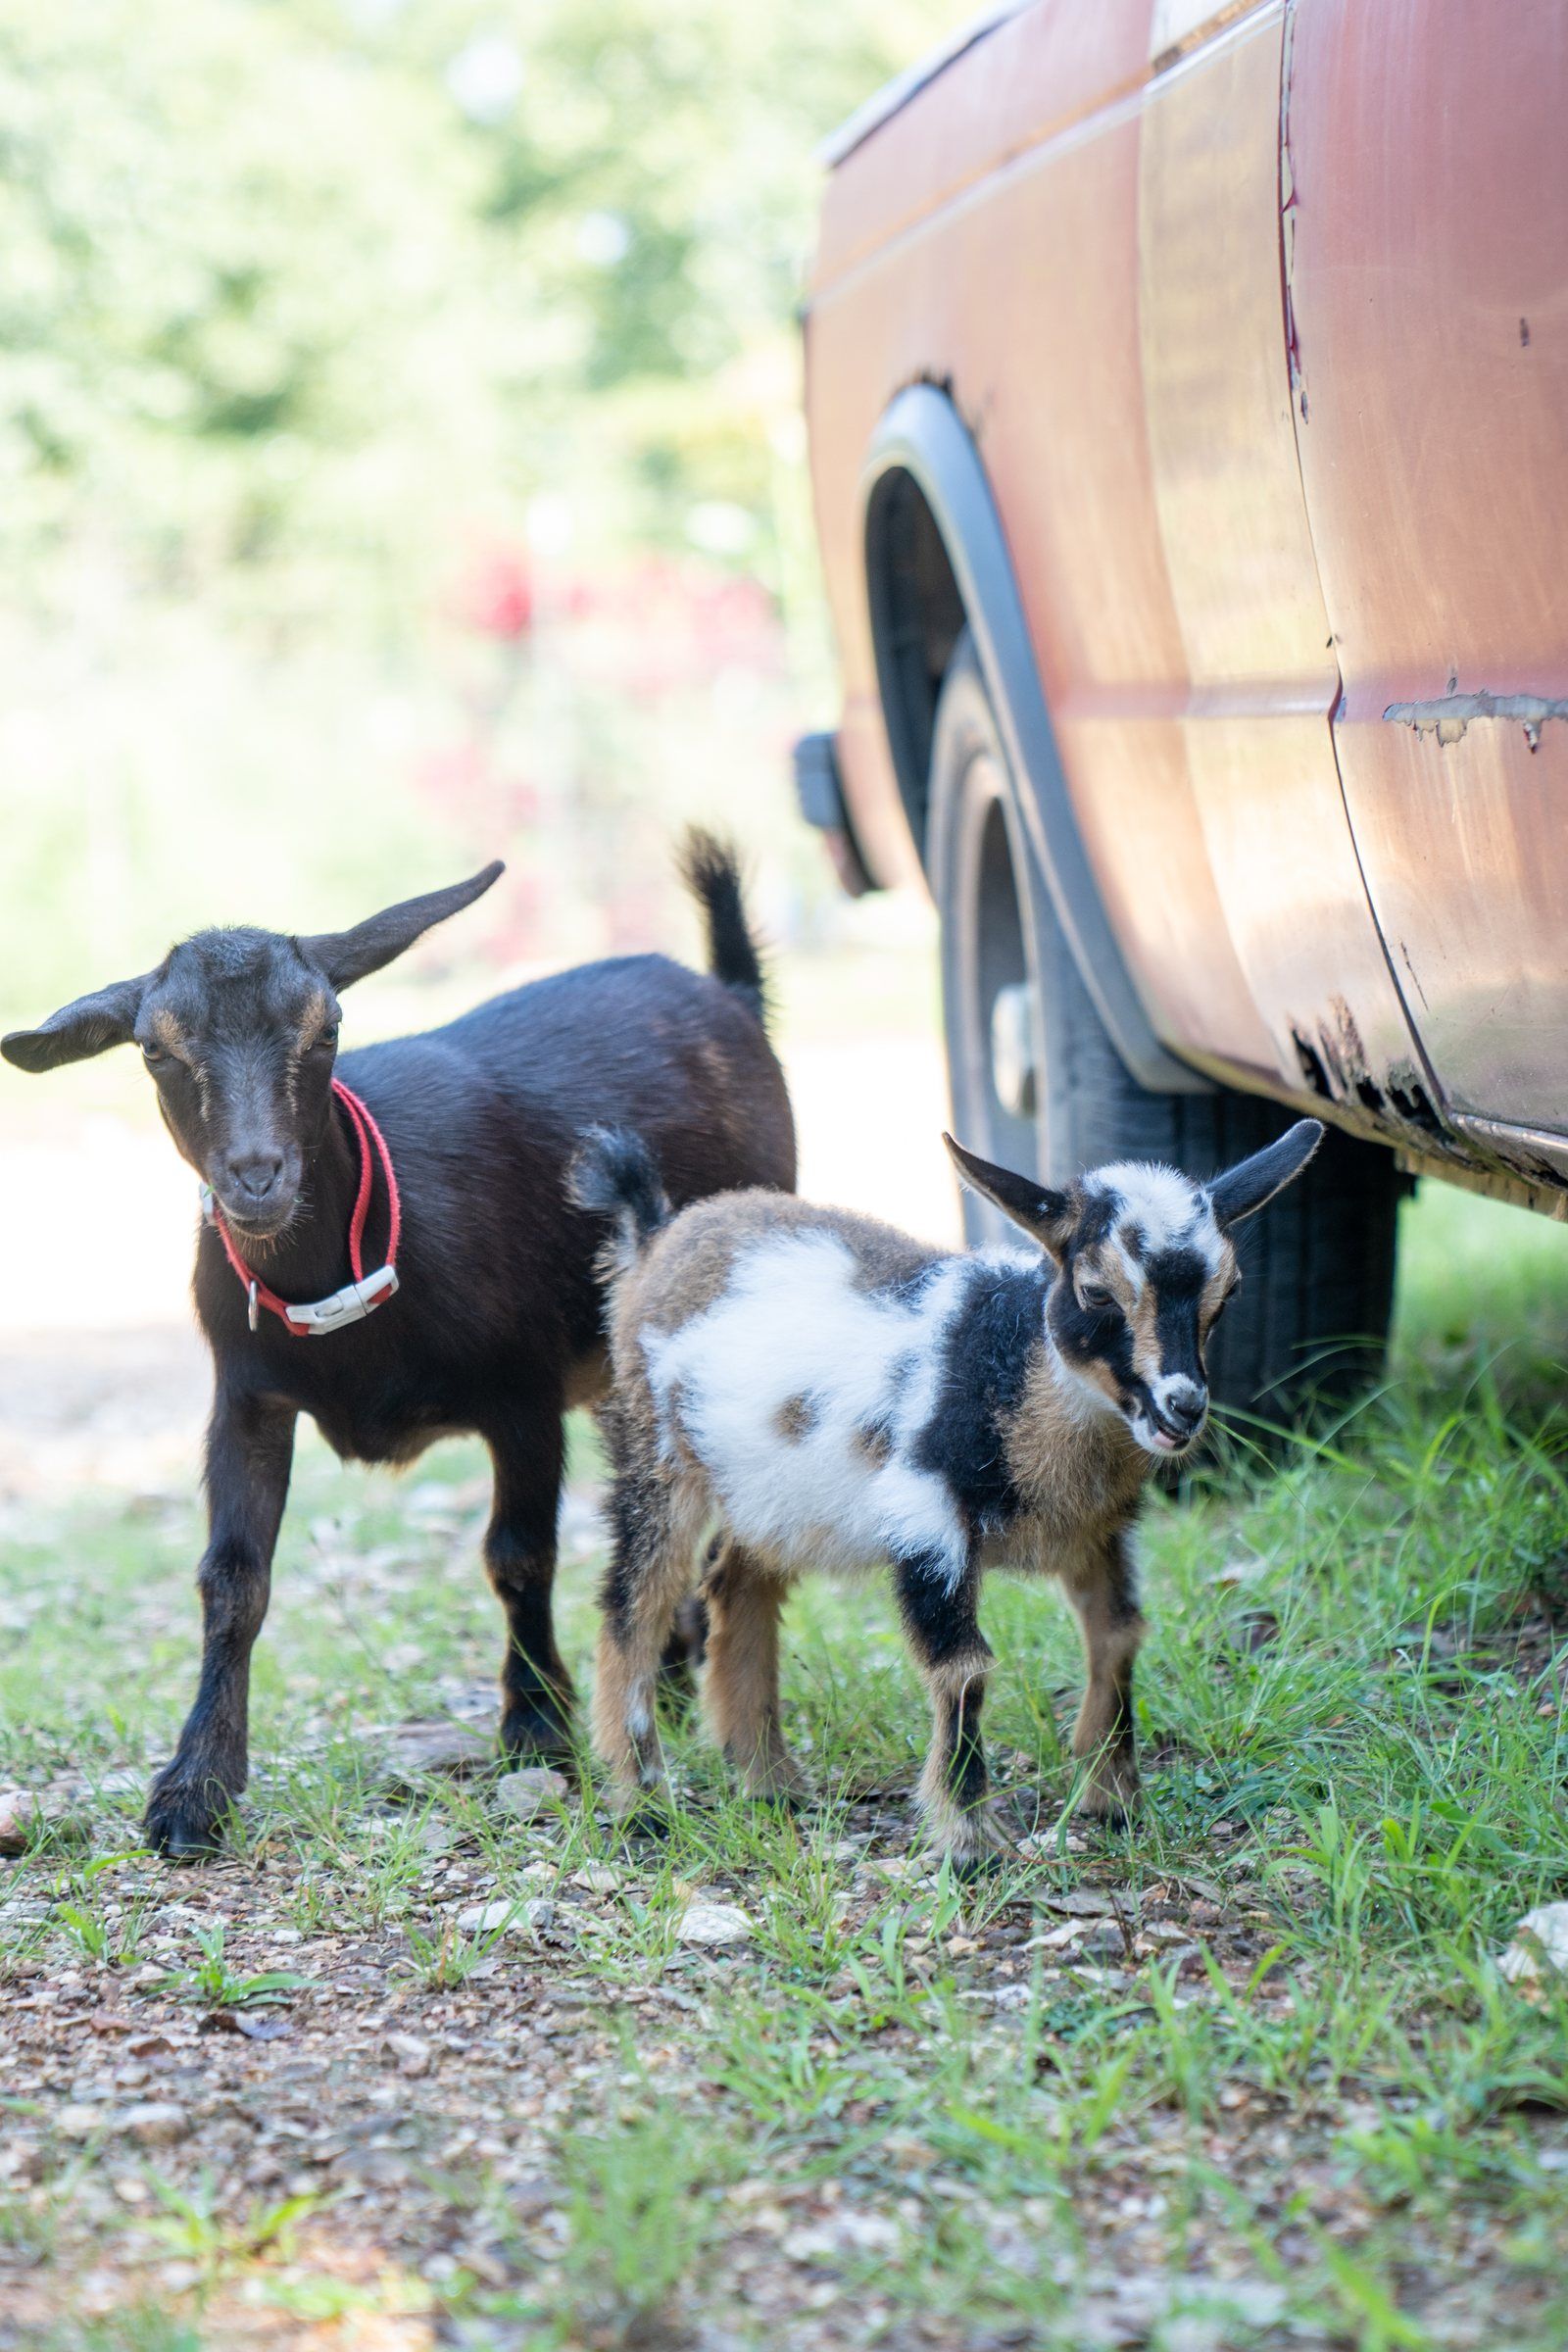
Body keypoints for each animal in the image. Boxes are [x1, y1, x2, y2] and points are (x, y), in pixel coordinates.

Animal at [1, 835, 795, 1855]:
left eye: (327, 1027)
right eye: (154, 1048)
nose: (257, 1176)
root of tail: (726, 993)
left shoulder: (521, 1394)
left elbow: (518, 1554)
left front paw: (536, 1725)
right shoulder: (245, 1400)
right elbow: (232, 1580)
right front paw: (195, 1786)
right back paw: (668, 1669)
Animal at [574, 1117, 1323, 1863]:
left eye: (1229, 1292)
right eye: (1096, 1292)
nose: (1183, 1409)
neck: (1008, 1369)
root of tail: (662, 1233)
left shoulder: (1098, 1531)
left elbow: (1118, 1636)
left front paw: (1114, 1798)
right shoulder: (925, 1514)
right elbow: (964, 1667)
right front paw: (970, 1837)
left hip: (773, 1492)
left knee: (735, 1583)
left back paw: (769, 1782)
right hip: (653, 1448)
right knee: (633, 1602)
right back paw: (643, 1800)